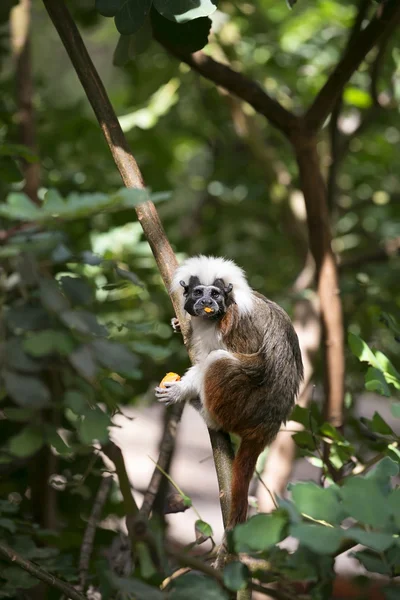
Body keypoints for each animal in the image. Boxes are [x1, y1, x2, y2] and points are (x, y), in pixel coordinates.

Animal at [156, 255, 304, 528]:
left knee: (221, 361)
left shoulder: (237, 322)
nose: (207, 302)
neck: (211, 319)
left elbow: (246, 360)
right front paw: (177, 322)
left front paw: (180, 390)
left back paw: (209, 416)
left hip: (244, 406)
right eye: (198, 292)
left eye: (215, 294)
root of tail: (268, 426)